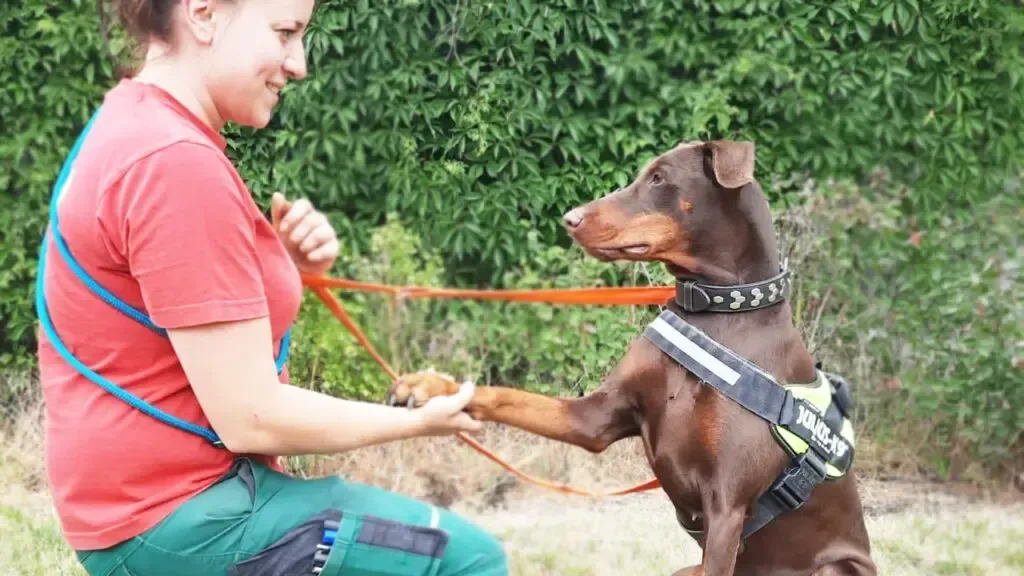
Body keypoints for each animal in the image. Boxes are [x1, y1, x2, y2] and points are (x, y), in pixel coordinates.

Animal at [387, 139, 876, 573]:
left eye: (659, 178)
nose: (570, 218)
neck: (715, 314)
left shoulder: (727, 508)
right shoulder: (595, 418)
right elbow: (508, 396)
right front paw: (430, 387)